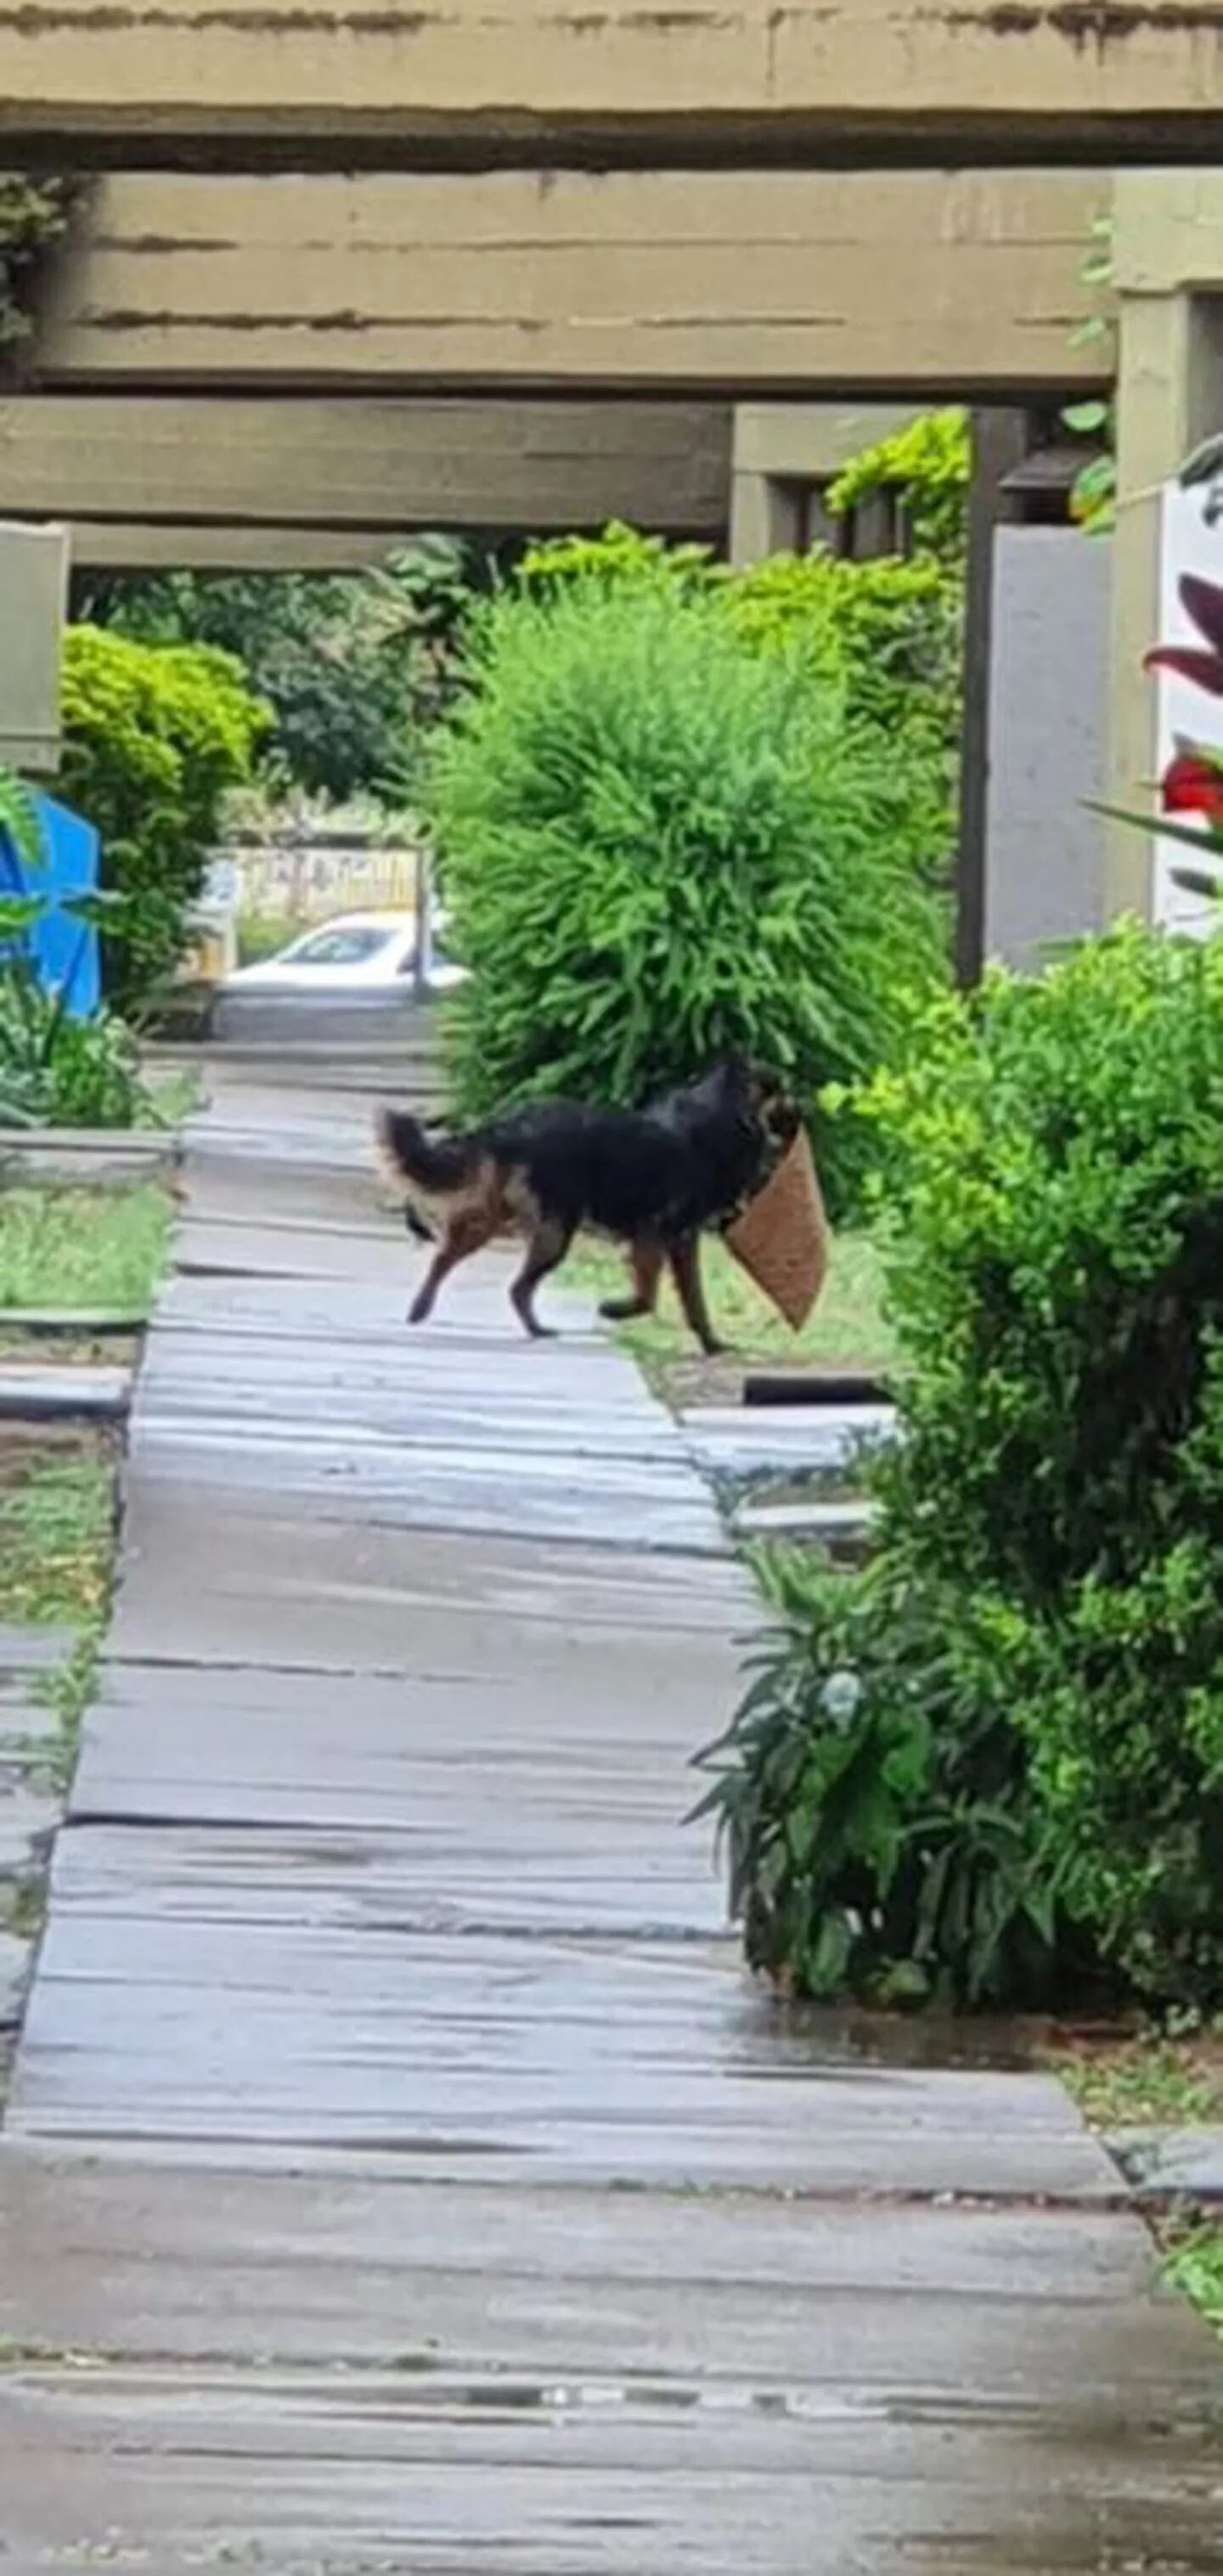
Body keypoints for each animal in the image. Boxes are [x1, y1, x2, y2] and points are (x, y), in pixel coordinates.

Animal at [373, 1056, 797, 1360]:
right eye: (781, 1092)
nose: (802, 1113)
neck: (721, 1115)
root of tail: (506, 1125)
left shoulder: (674, 1240)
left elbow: (694, 1302)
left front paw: (712, 1346)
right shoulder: (658, 1234)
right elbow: (652, 1296)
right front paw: (614, 1310)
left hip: (495, 1219)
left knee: (446, 1257)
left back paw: (422, 1308)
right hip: (556, 1231)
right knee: (517, 1286)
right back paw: (535, 1329)